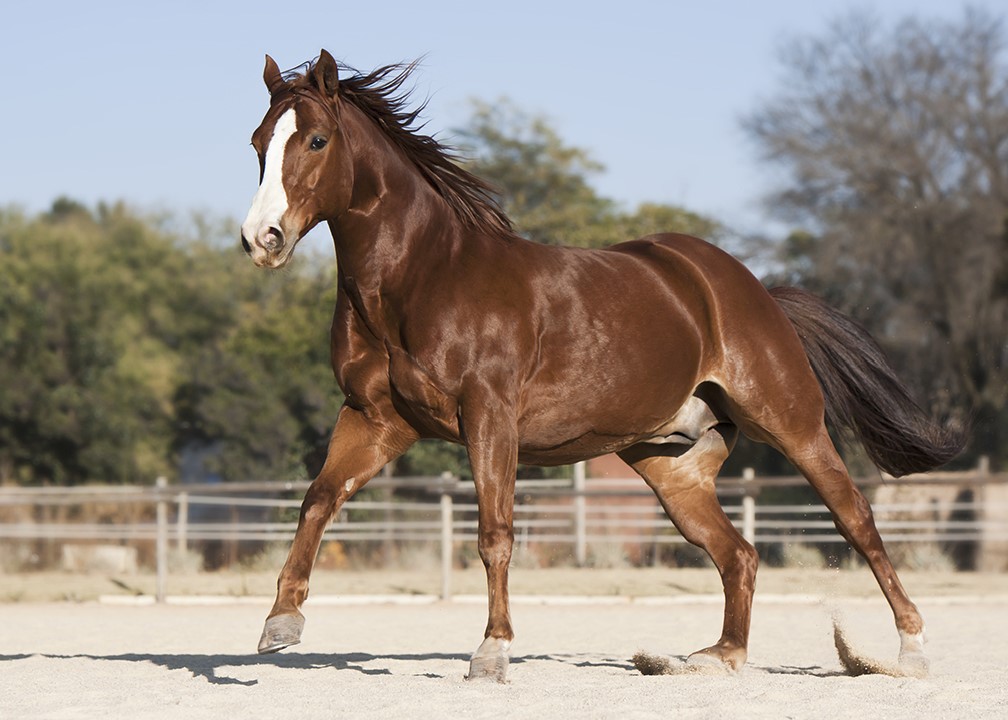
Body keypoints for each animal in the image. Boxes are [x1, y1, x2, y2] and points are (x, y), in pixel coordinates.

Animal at [239, 50, 963, 677]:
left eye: (316, 141)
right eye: (258, 143)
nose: (261, 239)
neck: (423, 277)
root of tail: (750, 290)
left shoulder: (487, 418)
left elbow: (494, 533)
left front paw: (492, 653)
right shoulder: (376, 419)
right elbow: (319, 498)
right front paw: (280, 623)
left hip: (792, 424)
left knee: (855, 519)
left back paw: (911, 652)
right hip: (671, 468)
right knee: (740, 554)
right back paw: (718, 658)